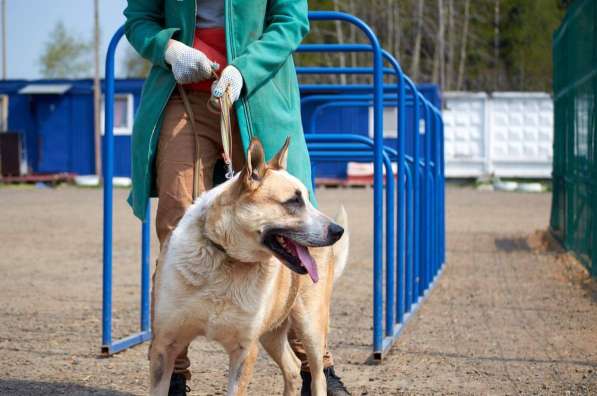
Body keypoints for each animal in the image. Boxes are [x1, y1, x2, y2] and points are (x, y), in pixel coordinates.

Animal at [148, 137, 350, 396]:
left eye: (305, 198)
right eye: (293, 201)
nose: (338, 231)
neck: (227, 259)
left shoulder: (245, 350)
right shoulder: (165, 345)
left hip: (311, 327)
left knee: (317, 376)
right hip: (272, 333)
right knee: (293, 367)